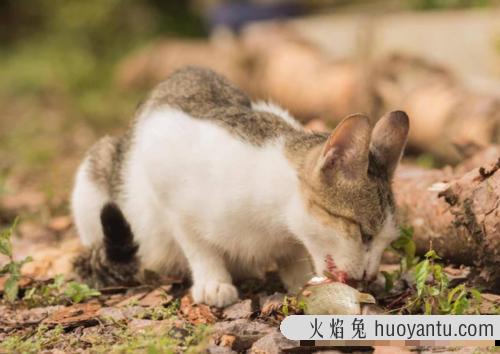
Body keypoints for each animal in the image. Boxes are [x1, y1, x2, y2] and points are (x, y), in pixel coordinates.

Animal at [72, 65, 408, 306]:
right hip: (95, 179)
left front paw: (299, 280)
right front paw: (213, 282)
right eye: (364, 234)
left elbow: (291, 254)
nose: (368, 276)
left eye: (386, 242)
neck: (275, 219)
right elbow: (196, 244)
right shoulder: (165, 180)